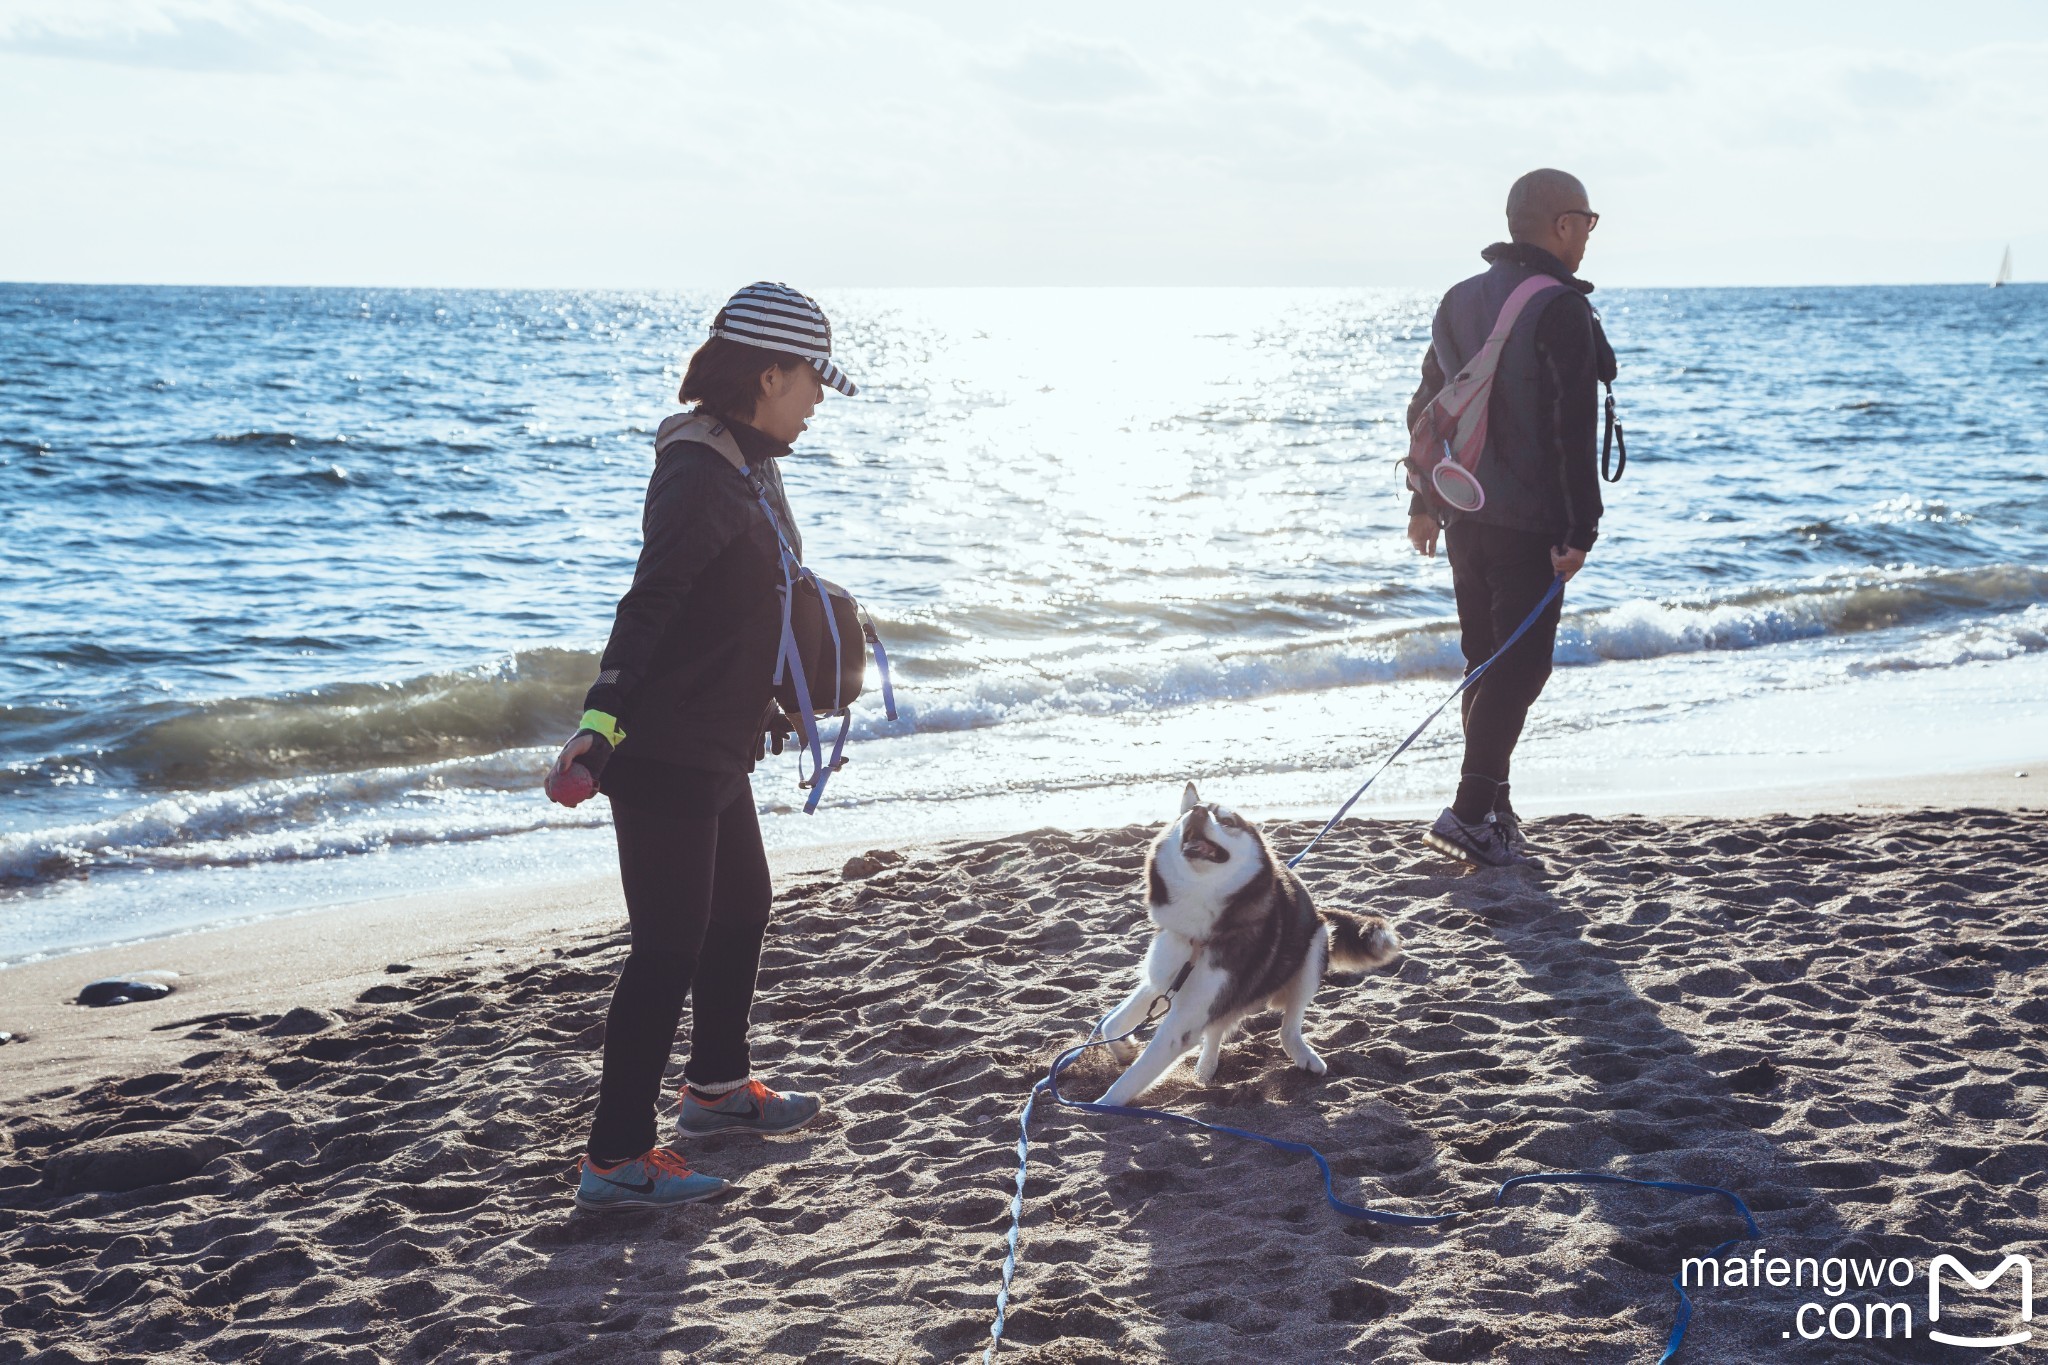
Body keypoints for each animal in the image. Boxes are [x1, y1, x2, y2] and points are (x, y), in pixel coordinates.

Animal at [1097, 777, 1400, 1113]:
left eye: (1227, 821)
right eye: (1190, 811)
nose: (1197, 812)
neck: (1200, 931)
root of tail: (1318, 909)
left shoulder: (1186, 1015)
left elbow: (1132, 1077)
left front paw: (1100, 1105)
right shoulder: (1164, 976)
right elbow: (1109, 1023)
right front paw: (1124, 1048)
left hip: (1314, 947)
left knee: (1288, 1027)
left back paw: (1302, 1055)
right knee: (1218, 1026)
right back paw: (1205, 1069)